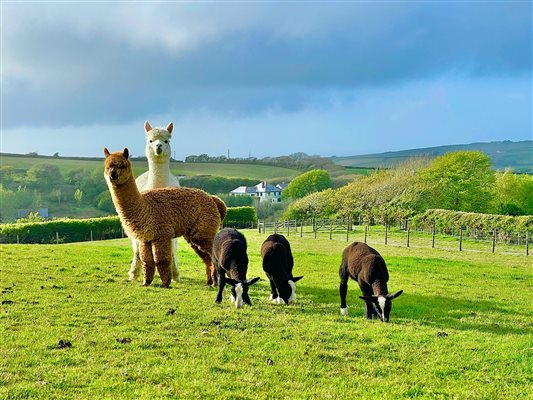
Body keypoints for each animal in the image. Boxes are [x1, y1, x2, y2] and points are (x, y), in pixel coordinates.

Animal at [103, 148, 225, 288]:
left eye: (122, 166)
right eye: (107, 166)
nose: (113, 174)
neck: (144, 207)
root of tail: (213, 199)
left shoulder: (162, 234)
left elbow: (161, 260)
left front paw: (165, 284)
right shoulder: (146, 238)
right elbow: (147, 261)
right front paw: (146, 282)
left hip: (204, 230)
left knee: (213, 254)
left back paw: (216, 282)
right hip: (195, 235)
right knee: (207, 257)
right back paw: (210, 282)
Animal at [129, 120, 181, 282]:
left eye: (166, 141)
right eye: (150, 140)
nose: (158, 147)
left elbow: (171, 250)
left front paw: (173, 274)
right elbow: (138, 251)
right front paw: (134, 274)